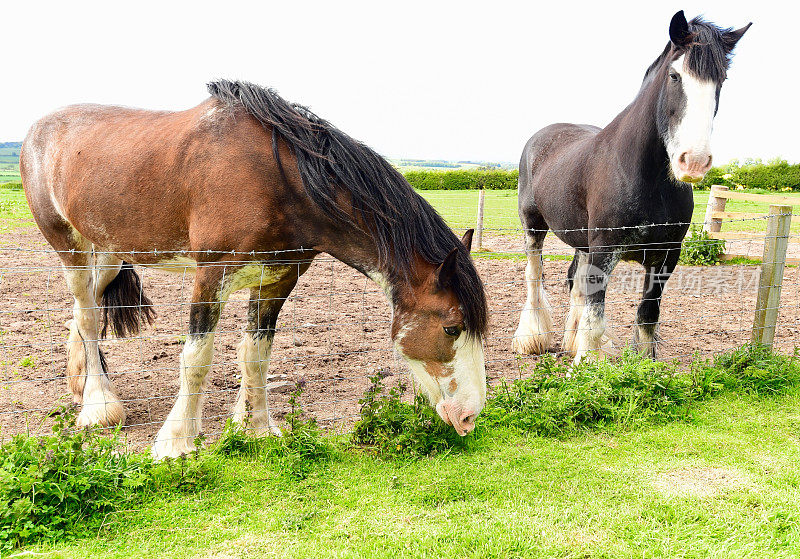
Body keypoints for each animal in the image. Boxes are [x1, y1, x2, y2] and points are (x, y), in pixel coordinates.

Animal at [21, 82, 488, 460]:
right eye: (452, 327)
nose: (470, 417)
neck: (278, 180)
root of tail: (36, 131)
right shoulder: (211, 274)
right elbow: (197, 357)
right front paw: (176, 441)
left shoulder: (280, 278)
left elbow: (257, 353)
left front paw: (258, 428)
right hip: (69, 246)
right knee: (86, 314)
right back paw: (98, 406)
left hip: (110, 251)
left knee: (84, 312)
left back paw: (81, 384)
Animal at [512, 13, 752, 366]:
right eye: (675, 76)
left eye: (720, 81)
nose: (694, 161)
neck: (643, 177)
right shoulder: (604, 249)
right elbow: (596, 315)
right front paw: (585, 367)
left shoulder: (666, 255)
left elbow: (647, 314)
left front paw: (642, 364)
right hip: (534, 226)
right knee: (534, 276)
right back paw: (532, 339)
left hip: (582, 243)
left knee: (575, 283)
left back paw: (570, 341)